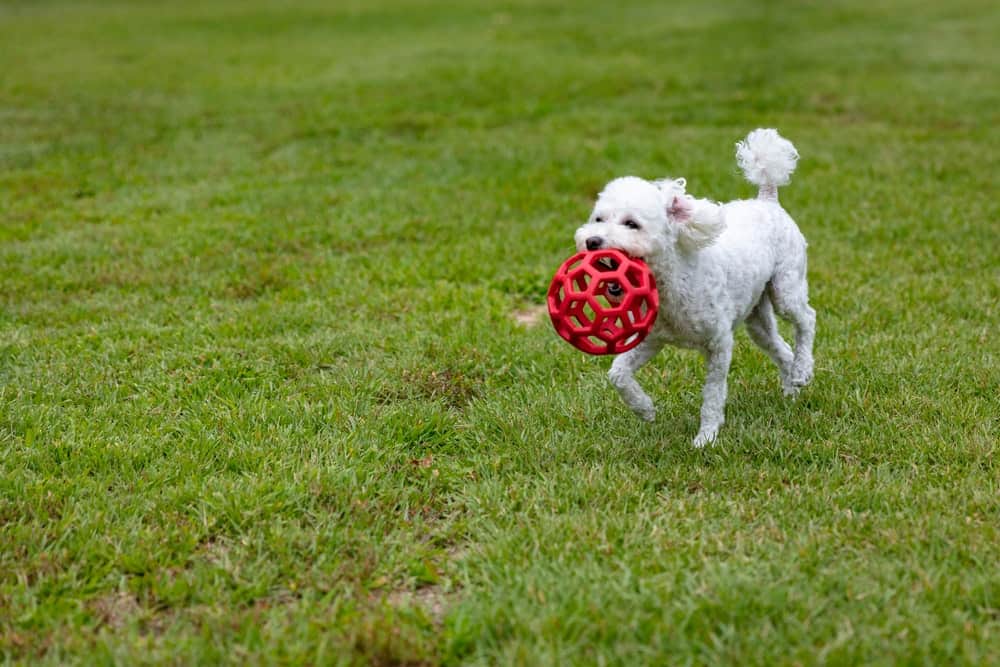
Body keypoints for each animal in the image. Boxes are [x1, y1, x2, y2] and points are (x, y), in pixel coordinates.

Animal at [576, 128, 816, 446]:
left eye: (631, 224)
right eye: (598, 219)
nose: (592, 241)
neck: (674, 279)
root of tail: (768, 199)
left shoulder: (719, 344)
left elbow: (713, 395)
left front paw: (706, 438)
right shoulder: (653, 339)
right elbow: (618, 374)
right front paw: (645, 409)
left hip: (785, 287)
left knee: (807, 320)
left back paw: (803, 369)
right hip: (757, 318)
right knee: (781, 347)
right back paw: (791, 390)